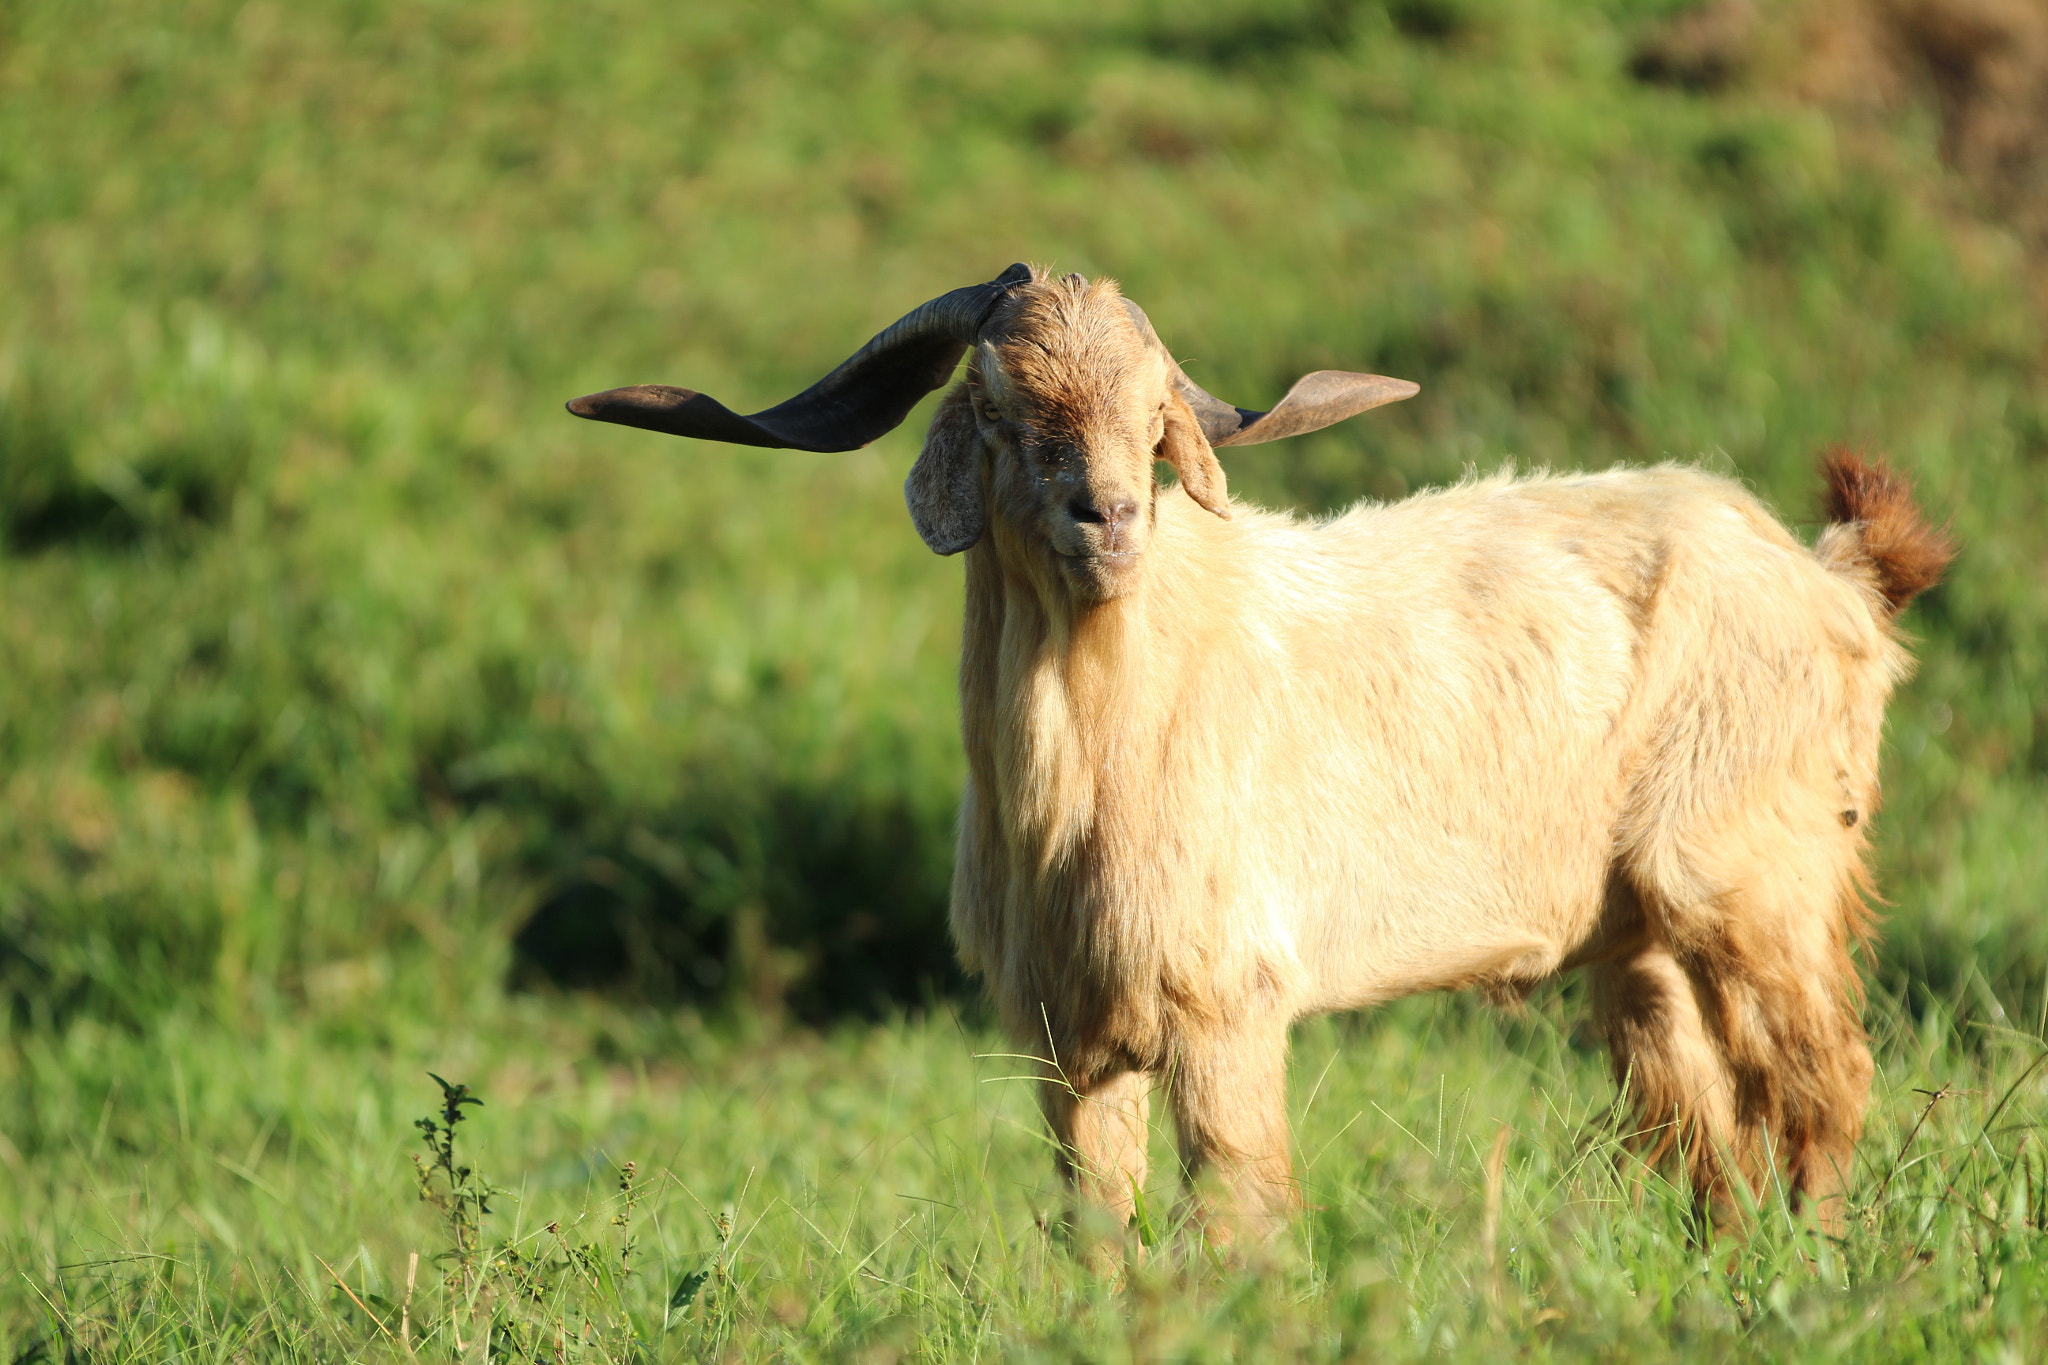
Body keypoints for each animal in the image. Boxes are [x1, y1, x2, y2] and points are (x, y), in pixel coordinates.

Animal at [569, 263, 1954, 1243]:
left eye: (1152, 412)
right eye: (1004, 410)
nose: (1108, 518)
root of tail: (1832, 578)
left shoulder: (1226, 1007)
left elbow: (1243, 1214)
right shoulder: (1067, 1040)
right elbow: (1101, 1230)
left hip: (1757, 877)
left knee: (1822, 1084)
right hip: (1639, 940)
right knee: (1706, 1124)